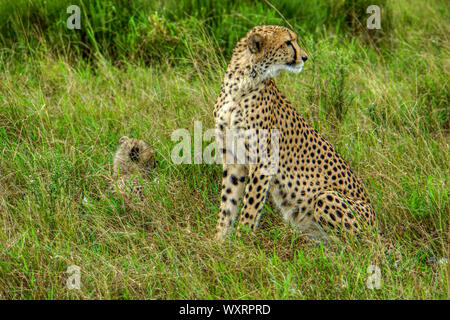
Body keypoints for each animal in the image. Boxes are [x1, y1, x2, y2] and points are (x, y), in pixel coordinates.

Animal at [213, 25, 374, 240]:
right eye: (288, 42)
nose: (305, 57)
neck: (241, 84)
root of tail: (378, 226)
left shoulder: (264, 161)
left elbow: (250, 207)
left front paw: (242, 240)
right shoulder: (233, 159)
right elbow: (228, 203)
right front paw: (220, 241)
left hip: (326, 196)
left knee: (354, 244)